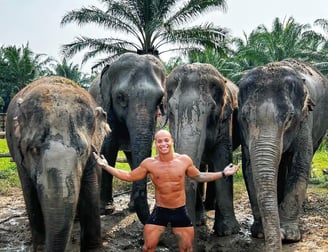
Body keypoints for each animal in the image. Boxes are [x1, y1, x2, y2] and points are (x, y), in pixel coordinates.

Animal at [5, 76, 111, 252]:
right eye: (34, 150)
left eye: (82, 151)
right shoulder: (19, 155)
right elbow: (29, 193)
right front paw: (40, 248)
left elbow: (90, 189)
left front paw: (93, 249)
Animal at [89, 52, 167, 223]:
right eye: (121, 98)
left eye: (160, 100)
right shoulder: (107, 106)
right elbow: (109, 147)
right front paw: (106, 210)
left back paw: (131, 206)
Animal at [167, 63, 241, 236]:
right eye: (171, 112)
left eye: (212, 111)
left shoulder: (226, 119)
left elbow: (222, 155)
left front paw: (228, 231)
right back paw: (202, 215)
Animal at [237, 58, 328, 250]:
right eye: (244, 118)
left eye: (289, 119)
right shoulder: (243, 135)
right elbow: (249, 168)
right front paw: (260, 233)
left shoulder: (304, 122)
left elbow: (300, 164)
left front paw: (289, 235)